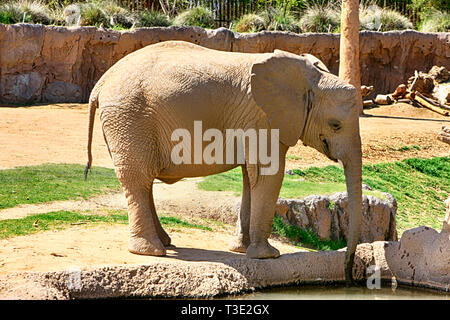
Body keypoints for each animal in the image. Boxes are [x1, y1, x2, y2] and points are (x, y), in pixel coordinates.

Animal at [86, 41, 364, 284]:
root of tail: (101, 83)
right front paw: (268, 256)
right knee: (138, 178)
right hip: (129, 118)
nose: (349, 275)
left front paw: (242, 250)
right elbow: (269, 175)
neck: (307, 77)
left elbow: (250, 178)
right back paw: (152, 251)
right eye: (335, 125)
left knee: (143, 182)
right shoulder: (262, 118)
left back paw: (164, 243)